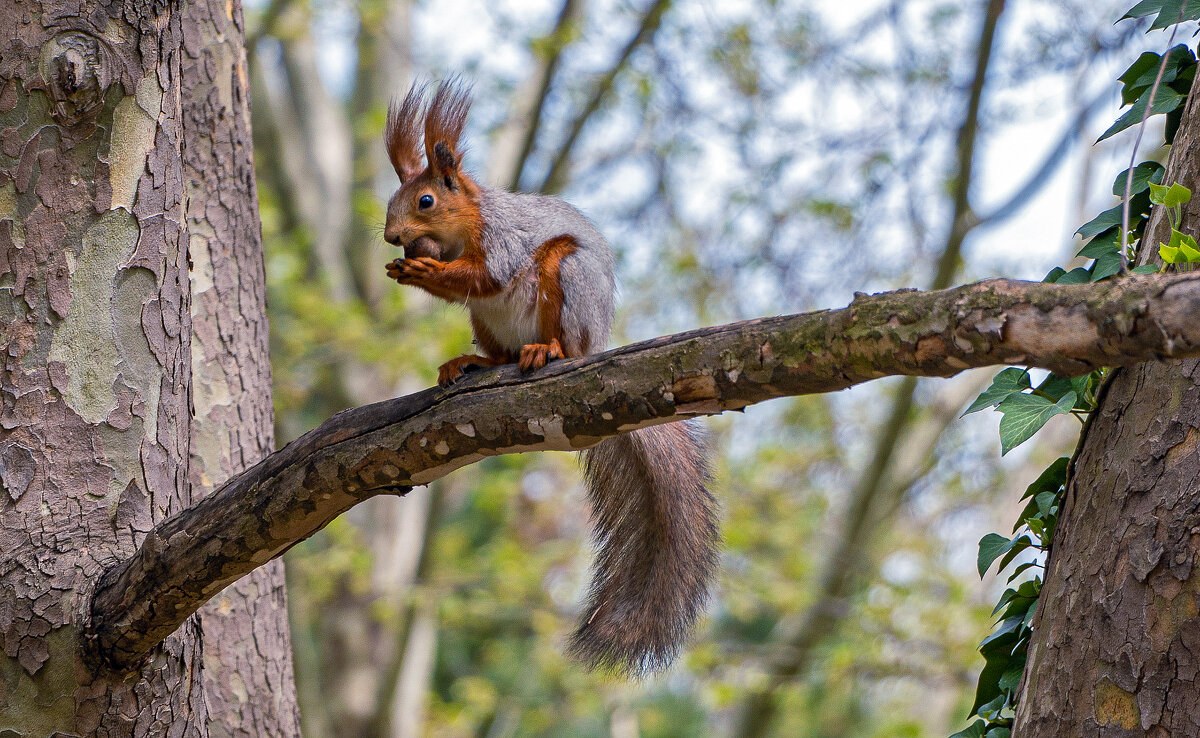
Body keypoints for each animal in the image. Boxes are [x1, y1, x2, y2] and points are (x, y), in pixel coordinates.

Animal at [379, 81, 715, 676]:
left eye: (426, 201)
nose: (394, 237)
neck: (466, 225)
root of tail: (595, 344)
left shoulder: (503, 242)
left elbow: (484, 275)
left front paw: (424, 269)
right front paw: (412, 265)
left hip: (567, 276)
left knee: (563, 338)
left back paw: (546, 350)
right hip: (485, 324)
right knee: (496, 351)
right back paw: (475, 363)